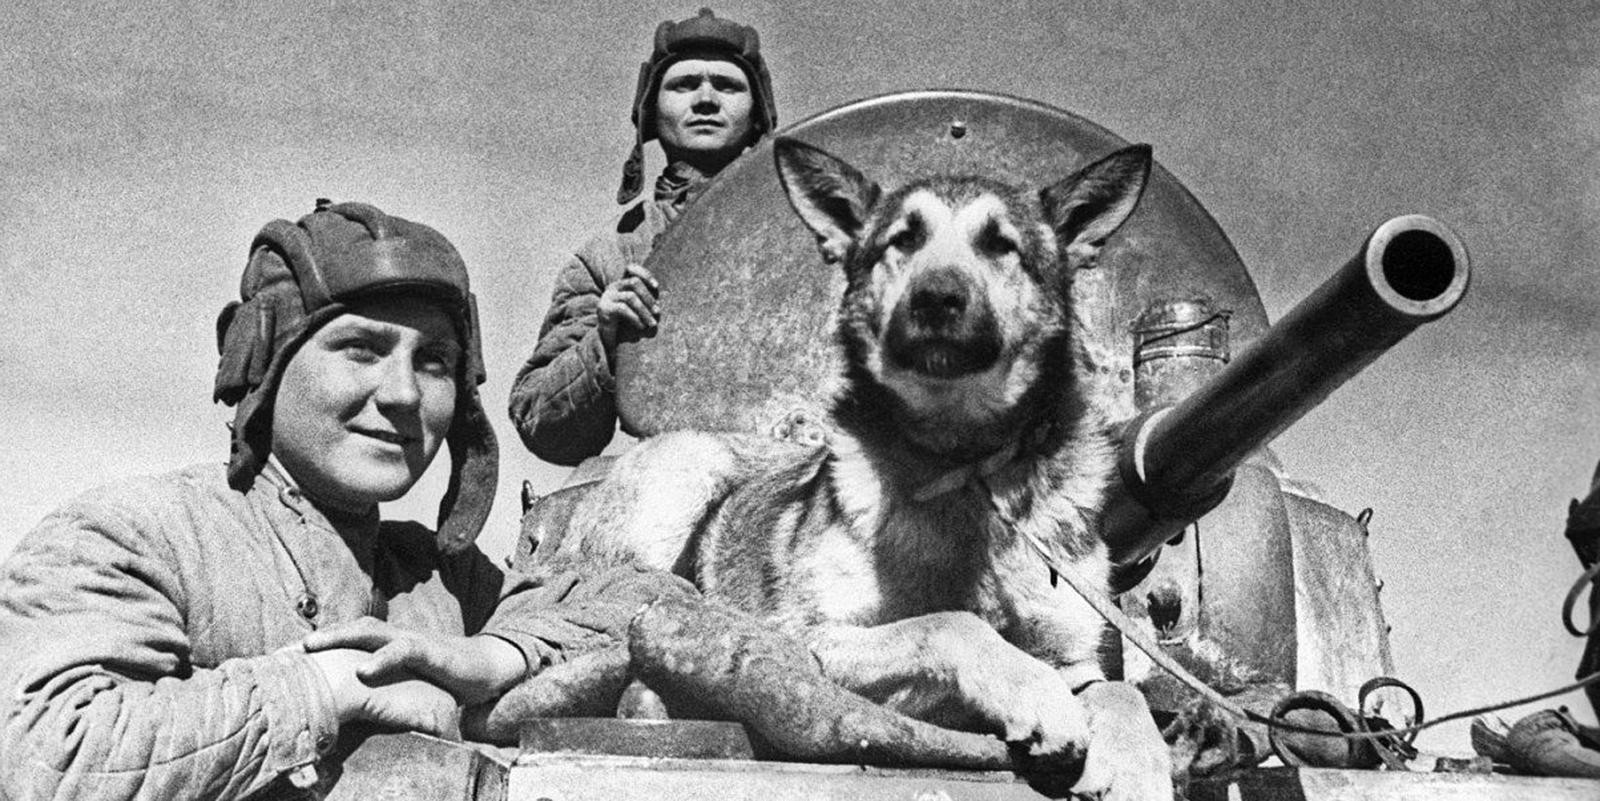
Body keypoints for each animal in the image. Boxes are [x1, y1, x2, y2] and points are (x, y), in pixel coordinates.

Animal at [543, 136, 1172, 799]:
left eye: (1001, 244)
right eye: (902, 240)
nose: (936, 298)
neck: (961, 461)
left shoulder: (1075, 655)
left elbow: (1122, 692)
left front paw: (1135, 766)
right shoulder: (810, 639)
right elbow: (948, 623)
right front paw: (1035, 695)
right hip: (681, 481)